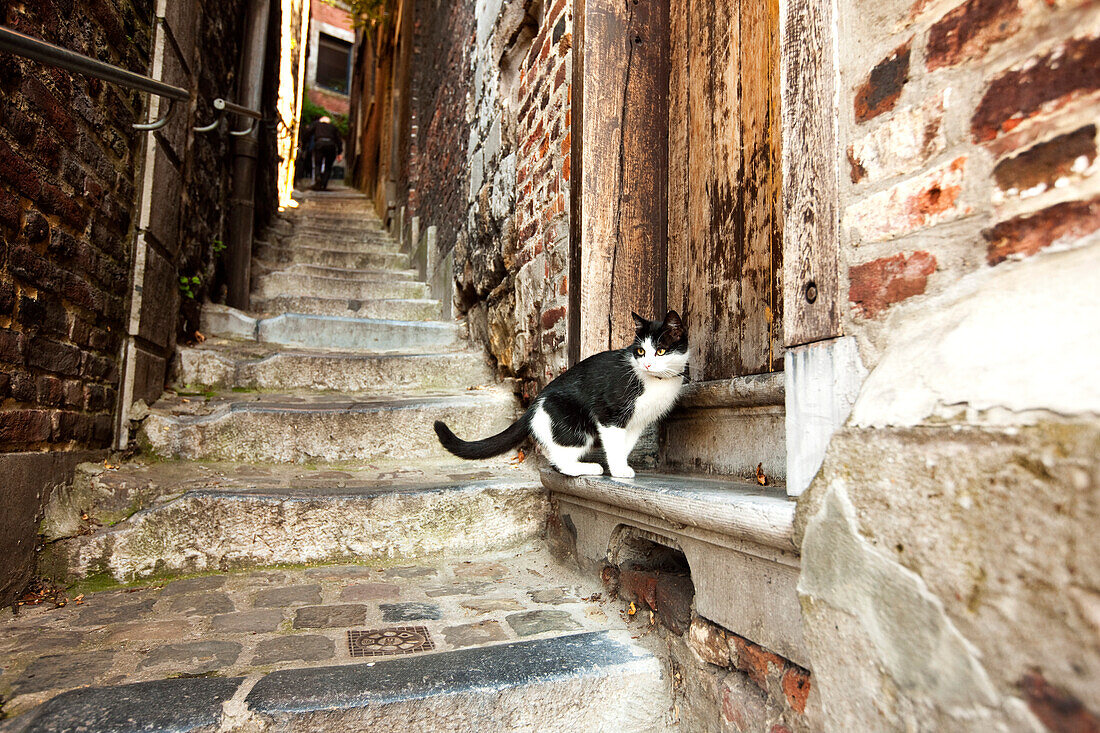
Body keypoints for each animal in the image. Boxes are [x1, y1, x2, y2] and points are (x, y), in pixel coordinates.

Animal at [431, 310, 682, 477]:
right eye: (640, 351)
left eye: (660, 351)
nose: (647, 364)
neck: (656, 381)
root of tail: (535, 403)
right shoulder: (609, 414)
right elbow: (614, 444)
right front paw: (619, 470)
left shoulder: (637, 422)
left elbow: (625, 445)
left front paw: (621, 465)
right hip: (575, 425)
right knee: (560, 459)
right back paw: (588, 468)